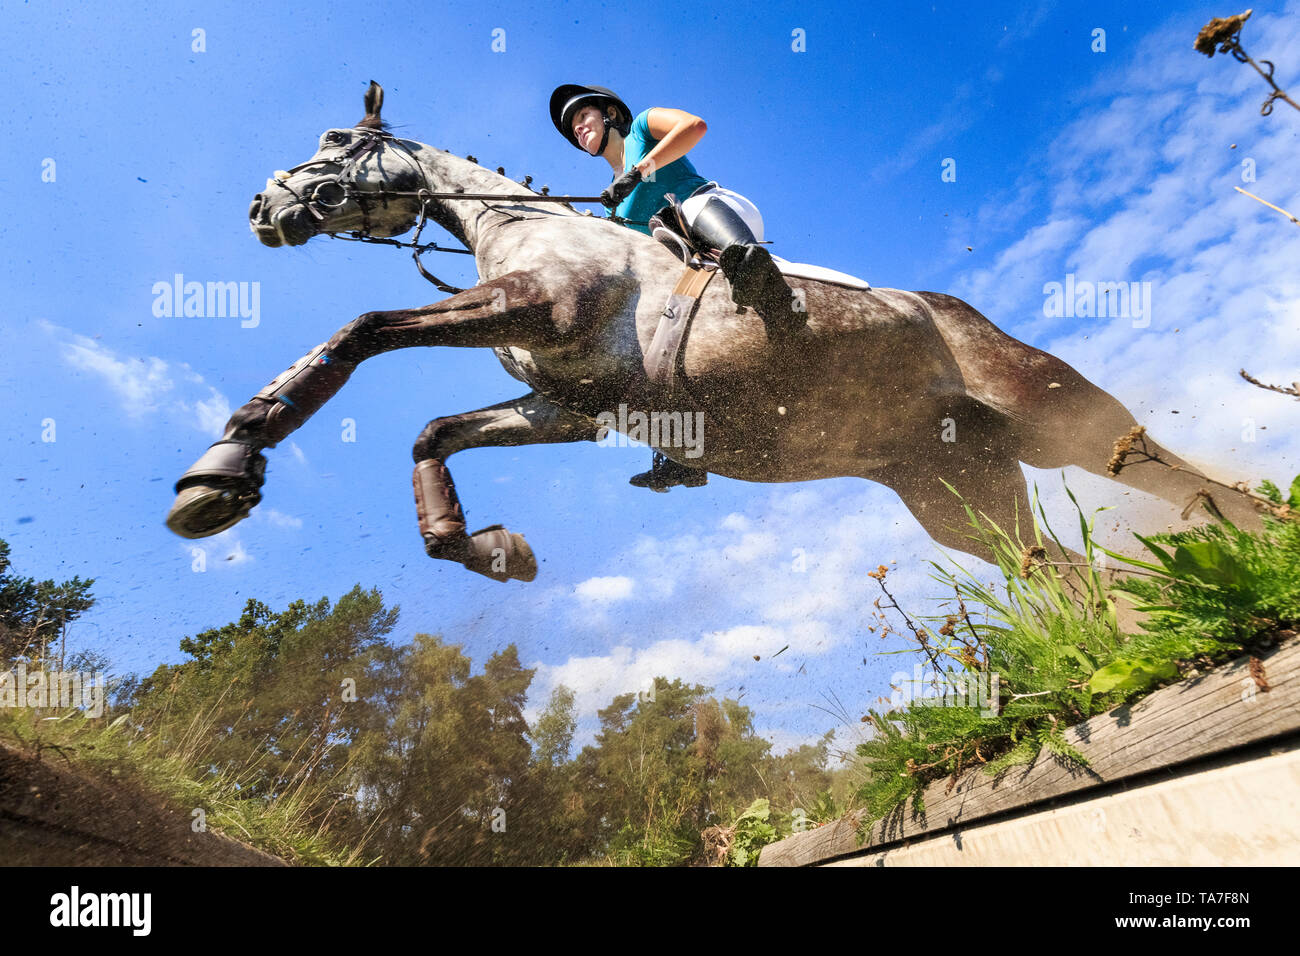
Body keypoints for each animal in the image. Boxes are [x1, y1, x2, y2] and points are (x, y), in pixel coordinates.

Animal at [162, 83, 1258, 582]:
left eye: (334, 142)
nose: (263, 207)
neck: (515, 225)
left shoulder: (535, 310)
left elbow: (360, 330)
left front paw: (227, 465)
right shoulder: (569, 402)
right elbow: (435, 432)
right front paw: (483, 547)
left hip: (1044, 405)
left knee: (1153, 465)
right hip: (951, 483)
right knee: (1047, 563)